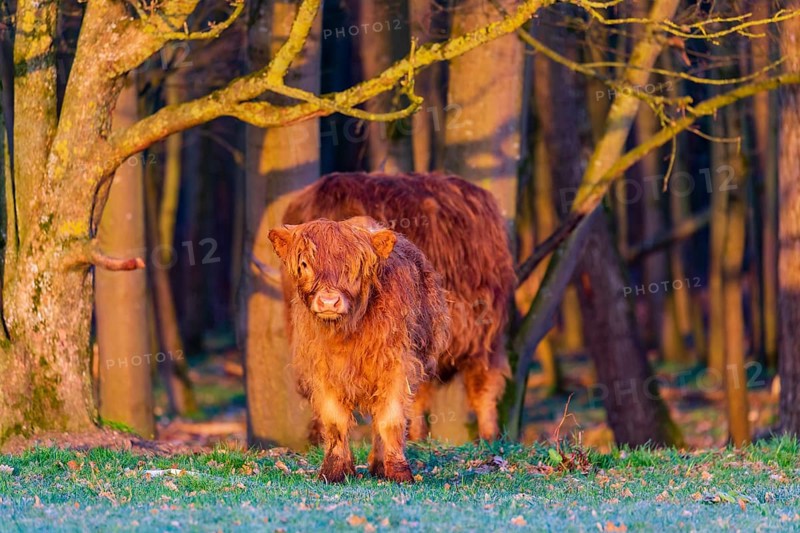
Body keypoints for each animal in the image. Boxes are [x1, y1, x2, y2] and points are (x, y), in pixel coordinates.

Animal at [268, 216, 450, 483]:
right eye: (304, 264)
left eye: (351, 267)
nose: (329, 301)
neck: (347, 332)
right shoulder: (323, 372)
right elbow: (334, 422)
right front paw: (335, 471)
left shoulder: (397, 367)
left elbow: (391, 420)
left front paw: (398, 471)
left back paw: (379, 465)